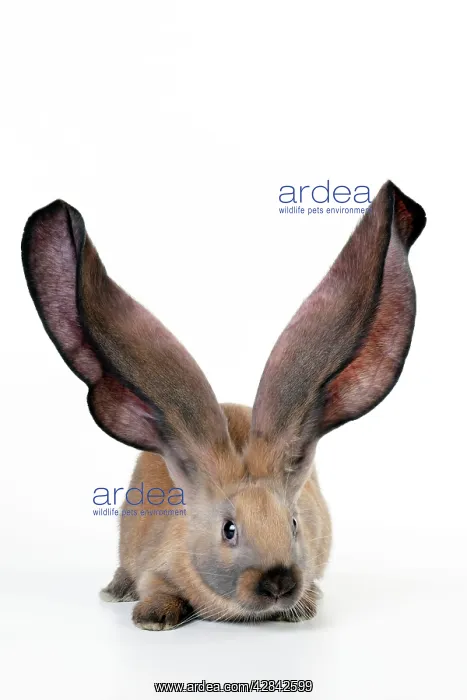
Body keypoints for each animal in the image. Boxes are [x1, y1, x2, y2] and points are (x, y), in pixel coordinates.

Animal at [21, 180, 426, 630]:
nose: (278, 583)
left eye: (294, 524)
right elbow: (157, 588)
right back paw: (116, 591)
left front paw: (303, 608)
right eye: (229, 530)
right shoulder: (155, 566)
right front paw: (153, 618)